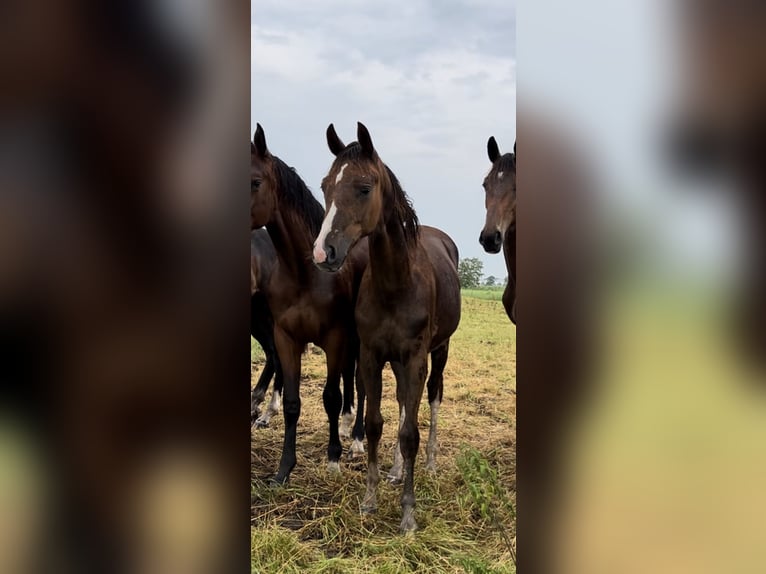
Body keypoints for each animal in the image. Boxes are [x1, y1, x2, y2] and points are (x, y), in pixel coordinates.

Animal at [251, 124, 367, 484]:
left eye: (255, 181)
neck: (305, 275)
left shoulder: (334, 338)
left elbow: (330, 397)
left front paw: (333, 459)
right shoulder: (286, 338)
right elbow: (292, 402)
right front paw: (283, 469)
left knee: (361, 384)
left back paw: (356, 440)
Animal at [313, 122, 461, 533]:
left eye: (364, 187)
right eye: (325, 186)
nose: (323, 252)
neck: (397, 283)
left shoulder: (415, 358)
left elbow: (409, 431)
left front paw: (408, 512)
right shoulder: (372, 356)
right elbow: (377, 422)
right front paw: (371, 497)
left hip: (438, 352)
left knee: (432, 400)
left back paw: (429, 462)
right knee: (402, 404)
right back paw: (396, 471)